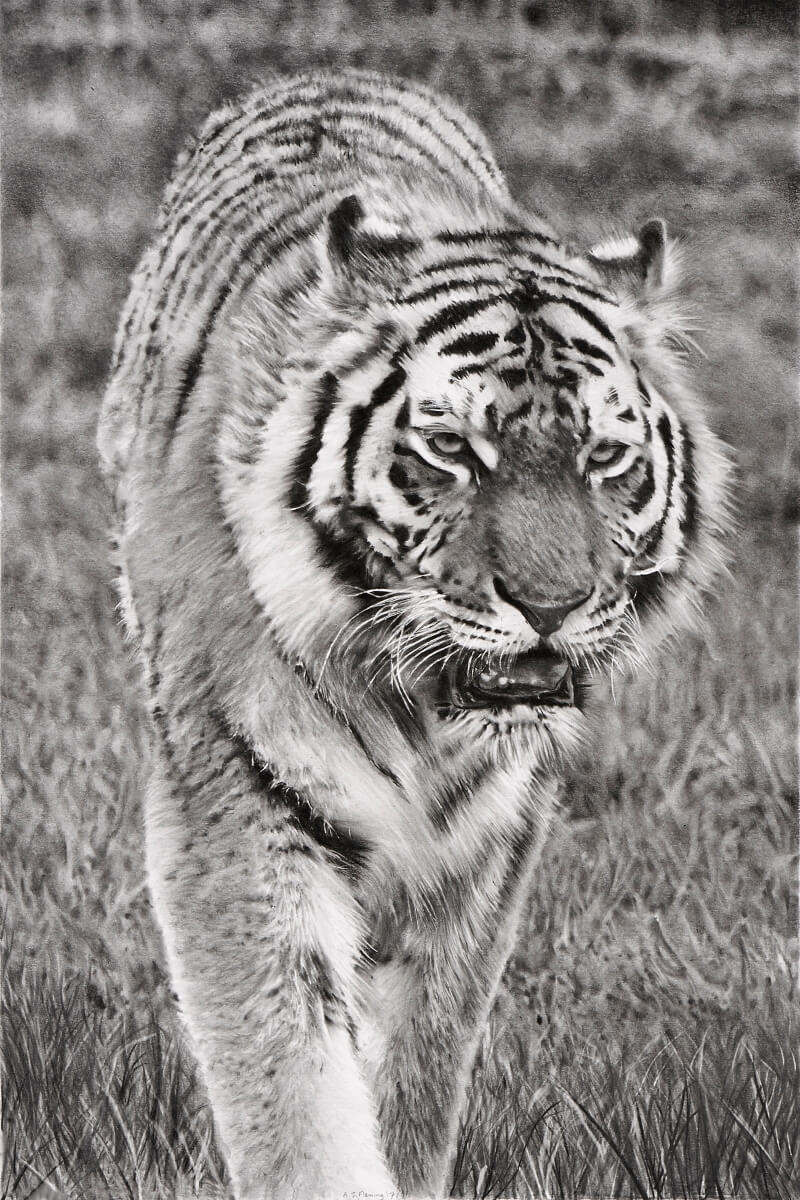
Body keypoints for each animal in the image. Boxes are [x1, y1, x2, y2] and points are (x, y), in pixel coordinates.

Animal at [97, 68, 729, 1200]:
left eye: (605, 459)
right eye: (452, 449)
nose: (551, 605)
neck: (420, 713)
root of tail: (328, 72)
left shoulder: (487, 845)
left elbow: (421, 1064)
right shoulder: (236, 798)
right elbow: (294, 1086)